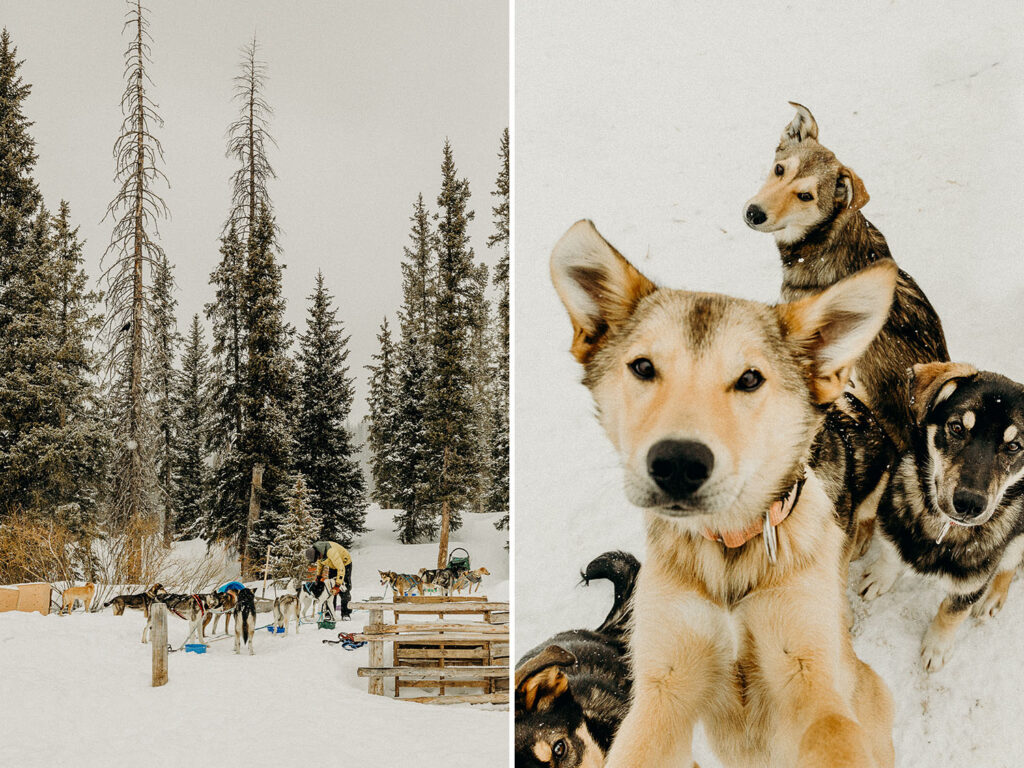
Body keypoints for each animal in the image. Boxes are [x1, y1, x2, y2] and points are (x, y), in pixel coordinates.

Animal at [552, 221, 897, 768]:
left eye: (750, 378)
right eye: (643, 367)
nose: (677, 463)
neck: (732, 553)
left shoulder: (811, 673)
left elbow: (832, 730)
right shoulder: (664, 687)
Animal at [856, 364, 1024, 671]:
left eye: (1013, 446)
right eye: (957, 428)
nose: (969, 504)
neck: (943, 527)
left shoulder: (971, 582)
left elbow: (951, 612)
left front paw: (936, 646)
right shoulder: (892, 521)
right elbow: (890, 554)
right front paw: (880, 577)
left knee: (1011, 562)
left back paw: (994, 596)